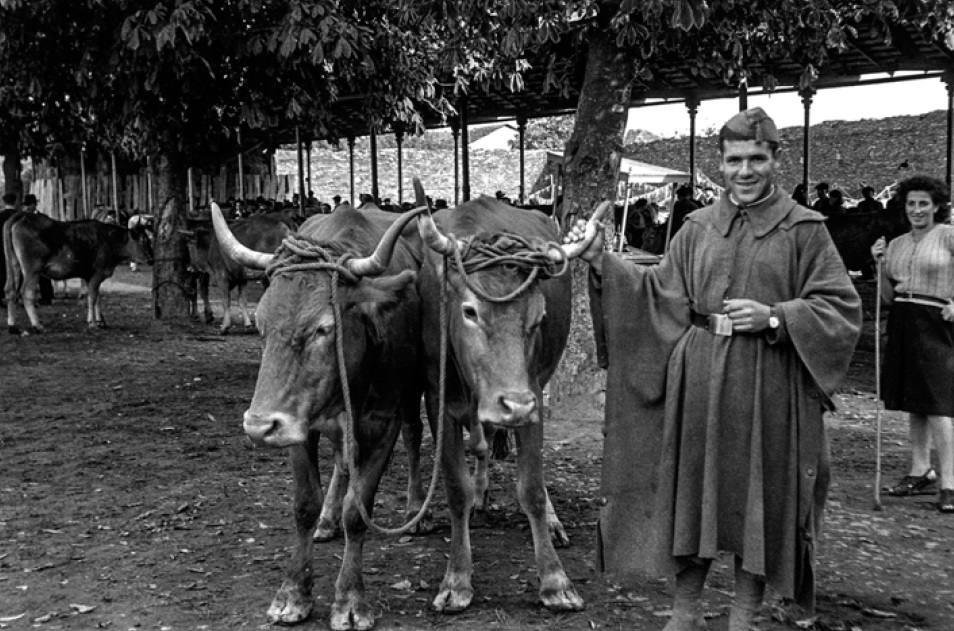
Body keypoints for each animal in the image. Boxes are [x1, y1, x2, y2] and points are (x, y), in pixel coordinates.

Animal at [3, 212, 153, 334]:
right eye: (143, 241)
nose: (150, 259)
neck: (109, 241)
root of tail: (23, 215)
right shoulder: (97, 274)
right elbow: (93, 297)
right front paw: (92, 323)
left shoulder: (88, 276)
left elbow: (96, 296)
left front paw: (100, 321)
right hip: (32, 270)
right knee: (26, 293)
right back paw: (37, 325)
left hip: (15, 266)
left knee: (10, 291)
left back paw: (12, 326)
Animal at [214, 201, 430, 628]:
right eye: (261, 325)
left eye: (323, 328)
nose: (258, 426)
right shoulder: (297, 424)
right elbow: (304, 504)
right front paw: (293, 592)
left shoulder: (383, 422)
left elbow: (358, 511)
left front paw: (350, 600)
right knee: (342, 462)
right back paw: (328, 520)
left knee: (414, 433)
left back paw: (416, 510)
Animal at [410, 194, 604, 616]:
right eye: (469, 310)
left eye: (540, 315)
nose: (514, 405)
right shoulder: (438, 399)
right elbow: (456, 489)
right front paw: (456, 579)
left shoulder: (532, 396)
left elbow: (531, 488)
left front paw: (555, 581)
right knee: (481, 444)